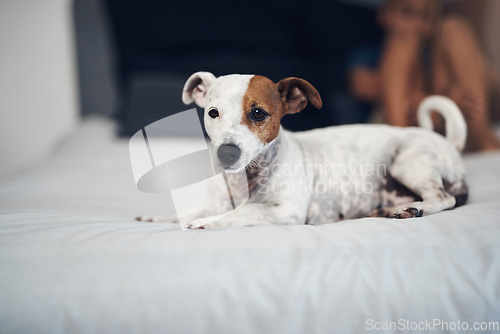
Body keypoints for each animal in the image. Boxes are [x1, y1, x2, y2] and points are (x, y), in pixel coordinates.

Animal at [139, 72, 466, 230]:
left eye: (258, 113)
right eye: (212, 112)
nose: (226, 154)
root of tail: (450, 141)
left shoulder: (285, 210)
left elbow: (243, 211)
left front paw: (205, 223)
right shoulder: (217, 202)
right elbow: (194, 210)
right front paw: (160, 217)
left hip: (409, 164)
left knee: (445, 198)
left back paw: (414, 208)